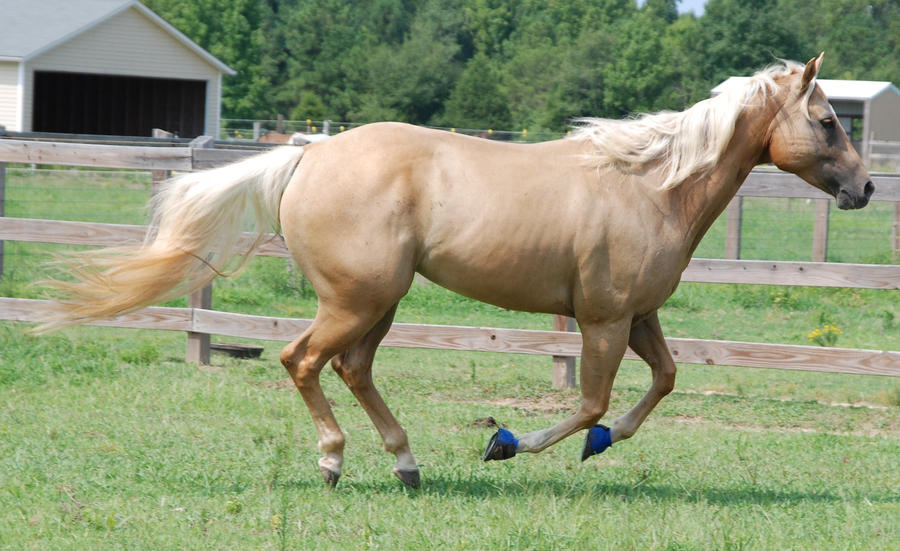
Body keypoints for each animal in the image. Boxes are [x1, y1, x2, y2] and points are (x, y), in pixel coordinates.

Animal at [37, 54, 872, 490]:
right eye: (828, 119)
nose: (865, 188)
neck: (651, 184)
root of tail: (308, 153)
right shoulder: (603, 319)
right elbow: (591, 401)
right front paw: (505, 442)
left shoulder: (639, 315)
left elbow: (662, 381)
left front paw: (602, 444)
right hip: (357, 297)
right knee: (302, 359)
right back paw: (334, 461)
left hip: (383, 301)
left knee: (353, 367)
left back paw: (406, 464)